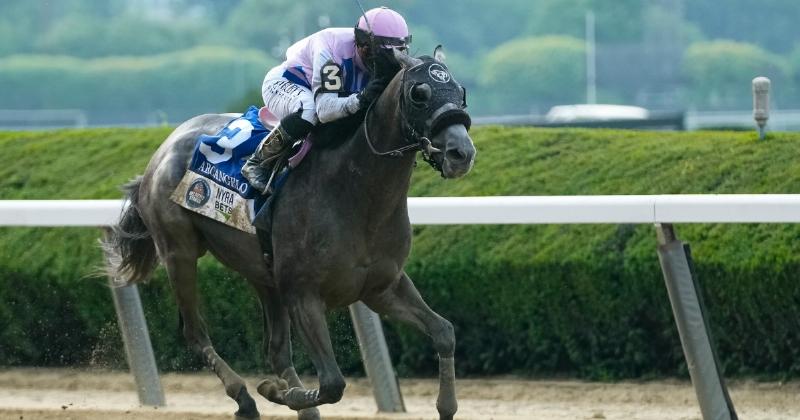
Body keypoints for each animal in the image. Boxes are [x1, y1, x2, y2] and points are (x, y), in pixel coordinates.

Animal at [102, 49, 476, 420]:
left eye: (461, 92)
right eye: (419, 94)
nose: (462, 153)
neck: (354, 193)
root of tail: (162, 151)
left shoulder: (381, 287)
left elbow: (444, 332)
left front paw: (446, 406)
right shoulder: (303, 295)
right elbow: (332, 383)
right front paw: (273, 391)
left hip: (262, 275)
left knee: (276, 349)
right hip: (179, 253)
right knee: (195, 332)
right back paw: (245, 398)